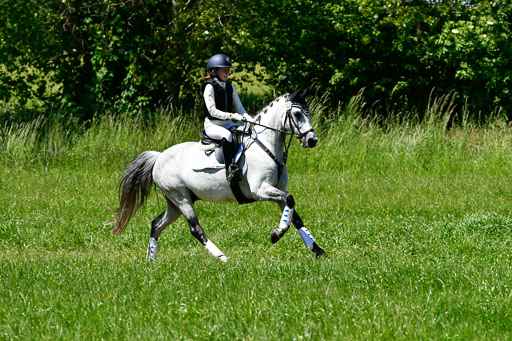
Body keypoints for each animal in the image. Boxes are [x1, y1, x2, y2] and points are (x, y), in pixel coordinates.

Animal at [113, 87, 326, 260]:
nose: (312, 140)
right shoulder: (260, 190)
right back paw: (221, 256)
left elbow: (294, 215)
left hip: (175, 203)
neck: (265, 145)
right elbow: (290, 205)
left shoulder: (278, 190)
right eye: (297, 114)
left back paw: (151, 260)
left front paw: (318, 250)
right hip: (181, 197)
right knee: (195, 229)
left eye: (308, 113)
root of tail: (158, 158)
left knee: (156, 224)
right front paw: (276, 235)